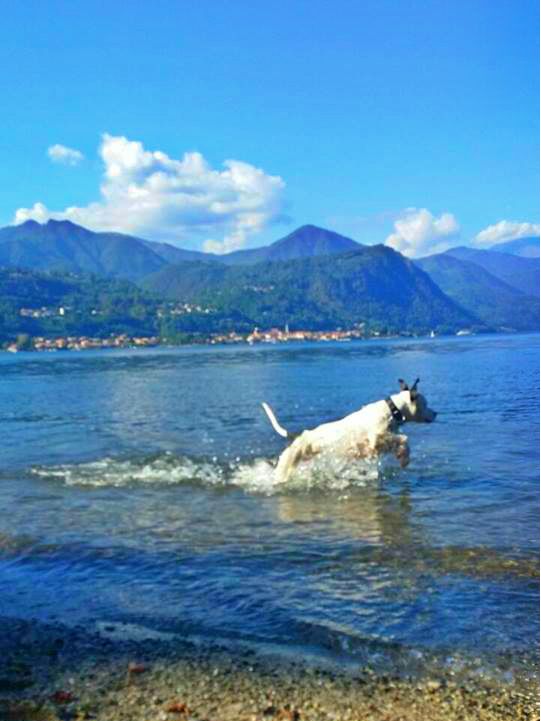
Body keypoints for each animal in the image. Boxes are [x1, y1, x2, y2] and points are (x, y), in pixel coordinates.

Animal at [264, 376, 436, 484]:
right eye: (426, 404)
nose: (436, 413)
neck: (392, 410)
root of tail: (299, 436)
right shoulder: (376, 439)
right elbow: (404, 438)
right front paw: (404, 458)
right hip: (287, 464)